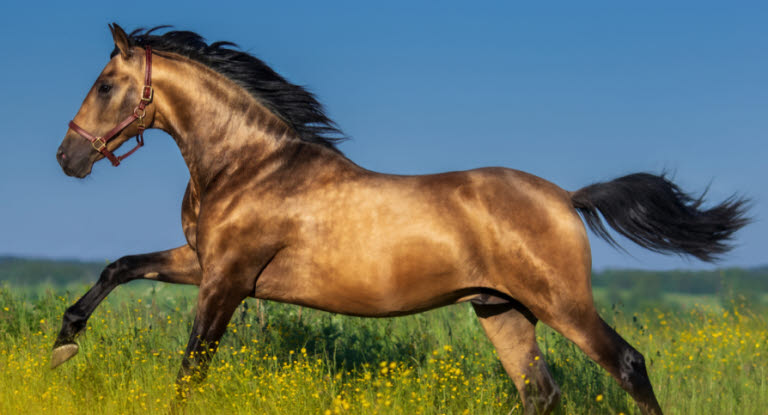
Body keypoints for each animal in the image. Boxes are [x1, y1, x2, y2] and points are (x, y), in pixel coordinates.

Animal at [54, 23, 752, 415]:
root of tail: (564, 196)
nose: (67, 158)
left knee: (628, 365)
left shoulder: (227, 278)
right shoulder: (204, 263)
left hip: (561, 303)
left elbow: (191, 368)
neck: (249, 166)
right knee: (540, 393)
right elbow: (121, 267)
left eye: (105, 85)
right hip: (501, 310)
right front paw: (64, 343)